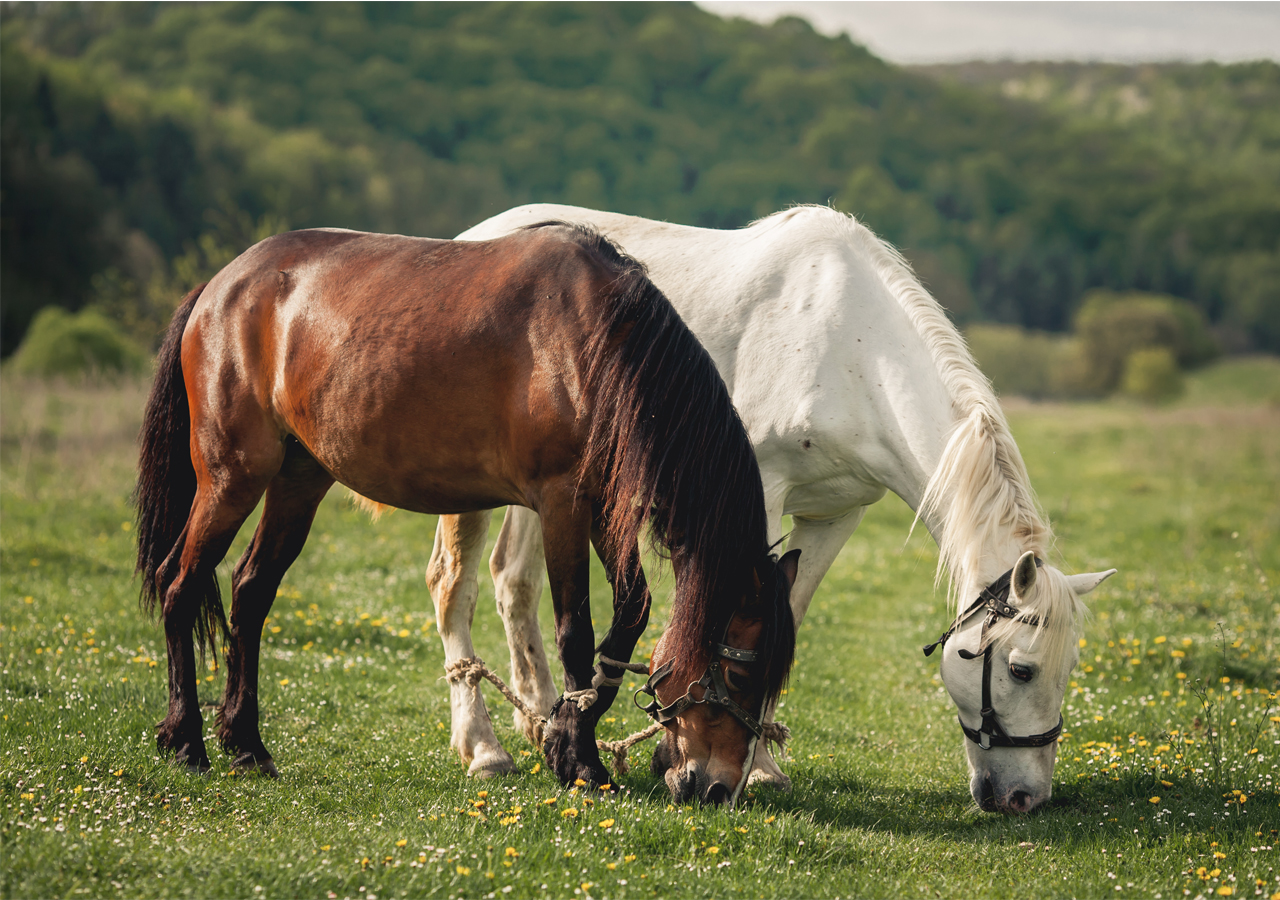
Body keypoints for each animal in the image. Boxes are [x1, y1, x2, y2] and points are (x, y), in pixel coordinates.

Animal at [140, 225, 793, 803]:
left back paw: (246, 745)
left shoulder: (604, 508)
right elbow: (576, 632)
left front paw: (565, 735)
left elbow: (629, 615)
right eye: (739, 676)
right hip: (232, 478)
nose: (717, 789)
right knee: (180, 584)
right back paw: (186, 741)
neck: (596, 343)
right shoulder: (562, 504)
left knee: (250, 592)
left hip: (298, 481)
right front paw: (580, 760)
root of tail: (220, 285)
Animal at [424, 204, 1116, 819]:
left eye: (1069, 668)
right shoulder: (757, 498)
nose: (1025, 798)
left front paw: (758, 761)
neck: (853, 351)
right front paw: (733, 762)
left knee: (513, 581)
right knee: (454, 585)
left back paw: (544, 719)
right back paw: (484, 748)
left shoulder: (837, 516)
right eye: (1021, 670)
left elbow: (789, 615)